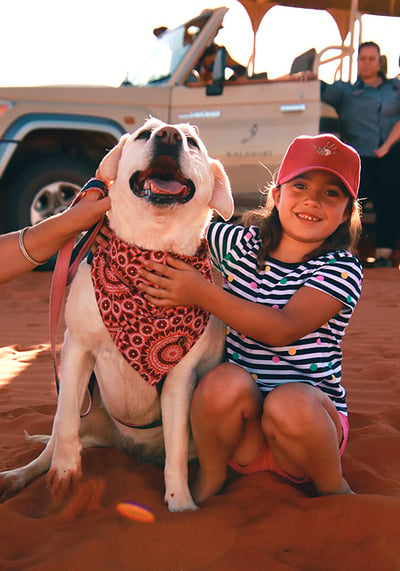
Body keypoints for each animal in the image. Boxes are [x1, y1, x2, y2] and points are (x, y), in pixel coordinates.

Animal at [0, 118, 234, 512]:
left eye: (192, 142)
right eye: (143, 134)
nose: (168, 135)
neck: (150, 248)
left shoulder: (179, 379)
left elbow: (175, 453)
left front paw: (180, 503)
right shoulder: (76, 348)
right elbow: (64, 420)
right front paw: (66, 471)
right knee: (52, 441)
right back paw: (17, 475)